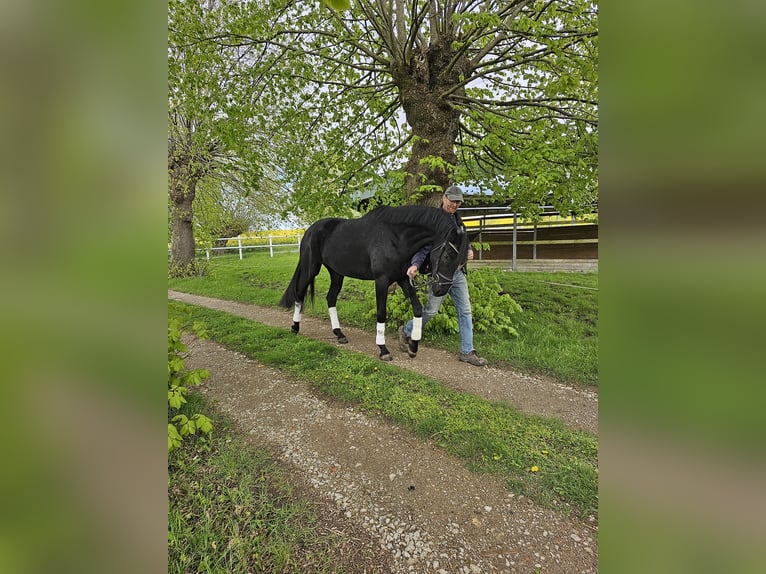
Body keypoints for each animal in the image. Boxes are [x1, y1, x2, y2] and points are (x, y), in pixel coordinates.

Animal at [280, 206, 472, 360]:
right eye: (447, 255)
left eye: (461, 261)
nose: (441, 290)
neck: (396, 237)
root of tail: (310, 230)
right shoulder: (381, 280)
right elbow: (381, 313)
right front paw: (383, 349)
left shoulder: (403, 279)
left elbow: (418, 309)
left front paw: (413, 347)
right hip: (311, 268)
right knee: (299, 293)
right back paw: (295, 327)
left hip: (336, 273)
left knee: (331, 298)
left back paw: (339, 334)